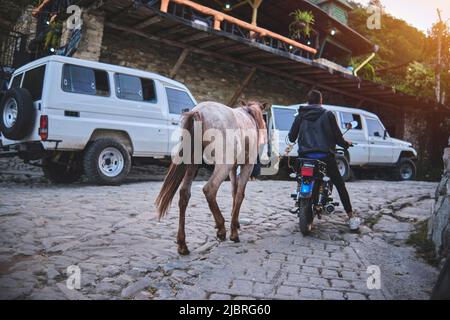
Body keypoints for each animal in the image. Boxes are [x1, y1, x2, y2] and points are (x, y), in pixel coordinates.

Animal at [155, 100, 268, 255]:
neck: (249, 115)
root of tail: (198, 112)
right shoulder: (247, 166)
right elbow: (239, 194)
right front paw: (234, 230)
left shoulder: (233, 169)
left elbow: (234, 192)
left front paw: (236, 222)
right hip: (223, 165)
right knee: (210, 189)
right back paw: (221, 228)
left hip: (193, 163)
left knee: (184, 194)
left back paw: (182, 244)